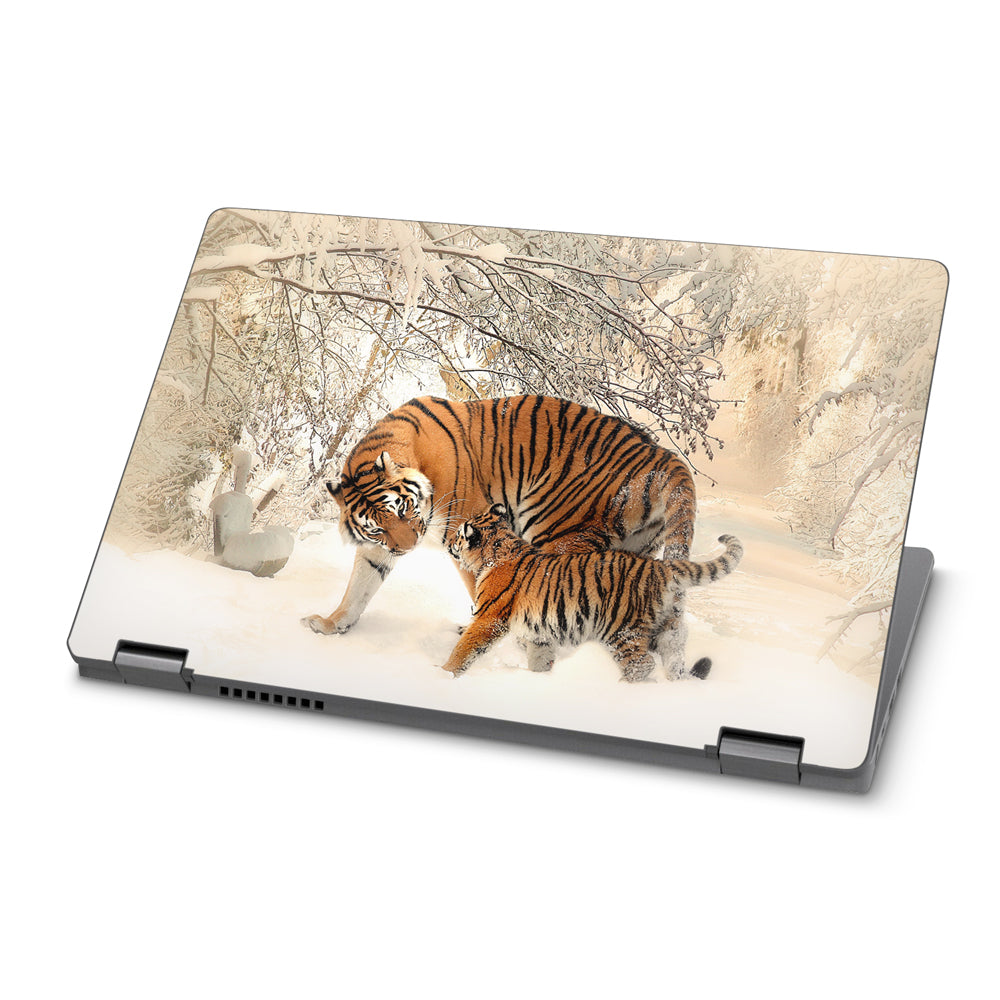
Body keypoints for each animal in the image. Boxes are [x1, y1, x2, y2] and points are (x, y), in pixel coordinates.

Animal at [301, 394, 697, 637]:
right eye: (376, 529)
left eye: (401, 508)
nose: (406, 549)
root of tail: (661, 455)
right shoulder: (377, 549)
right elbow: (359, 587)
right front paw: (331, 624)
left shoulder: (466, 531)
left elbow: (482, 588)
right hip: (632, 551)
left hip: (557, 532)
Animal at [444, 504, 743, 682]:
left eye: (458, 535)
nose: (448, 545)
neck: (498, 549)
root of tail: (660, 566)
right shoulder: (540, 633)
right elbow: (539, 658)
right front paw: (540, 680)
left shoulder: (489, 618)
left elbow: (465, 649)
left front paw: (444, 674)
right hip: (667, 630)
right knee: (674, 661)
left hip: (621, 630)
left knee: (641, 664)